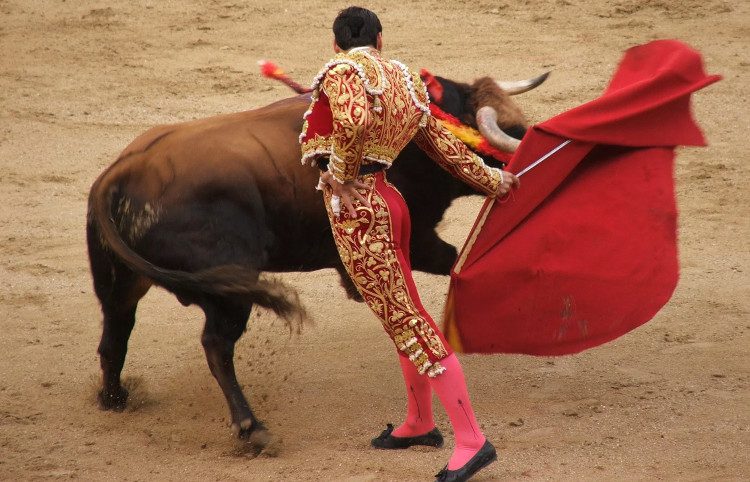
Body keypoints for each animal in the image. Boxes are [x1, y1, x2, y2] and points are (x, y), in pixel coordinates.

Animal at [86, 72, 548, 452]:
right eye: (509, 131)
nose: (528, 150)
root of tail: (122, 174)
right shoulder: (417, 242)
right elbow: (453, 262)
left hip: (119, 283)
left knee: (115, 334)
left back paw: (114, 399)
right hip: (229, 290)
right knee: (216, 346)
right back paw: (252, 429)